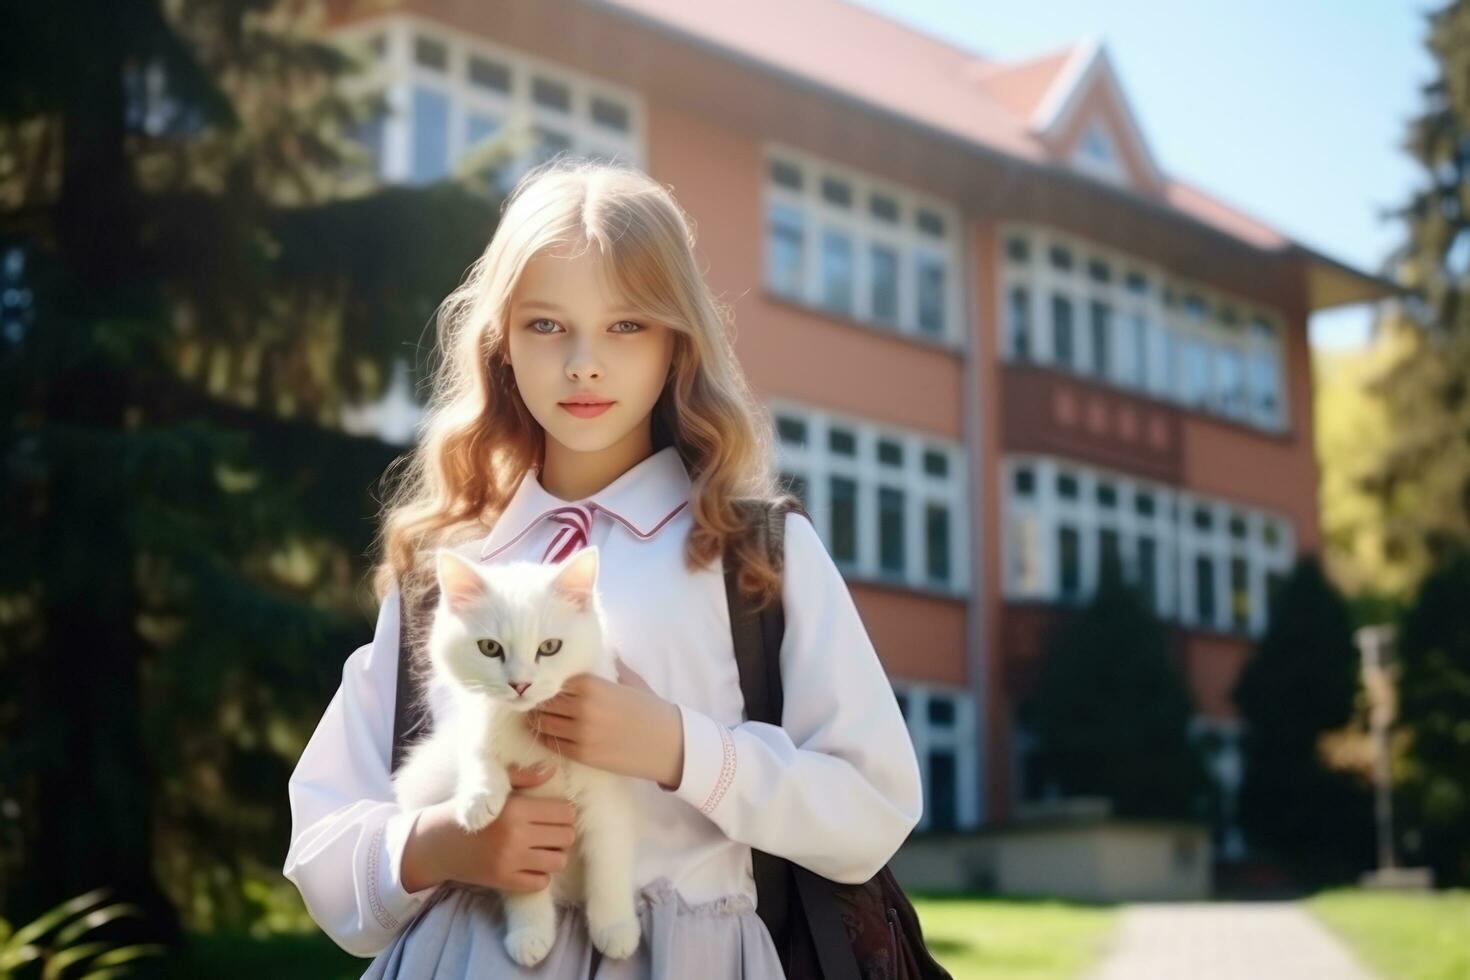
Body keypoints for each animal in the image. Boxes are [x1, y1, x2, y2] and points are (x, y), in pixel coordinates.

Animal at [391, 549, 643, 969]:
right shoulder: (522, 830)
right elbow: (480, 757)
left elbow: (608, 867)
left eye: (550, 647)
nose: (520, 684)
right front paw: (530, 934)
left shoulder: (606, 801)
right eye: (490, 648)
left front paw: (615, 928)